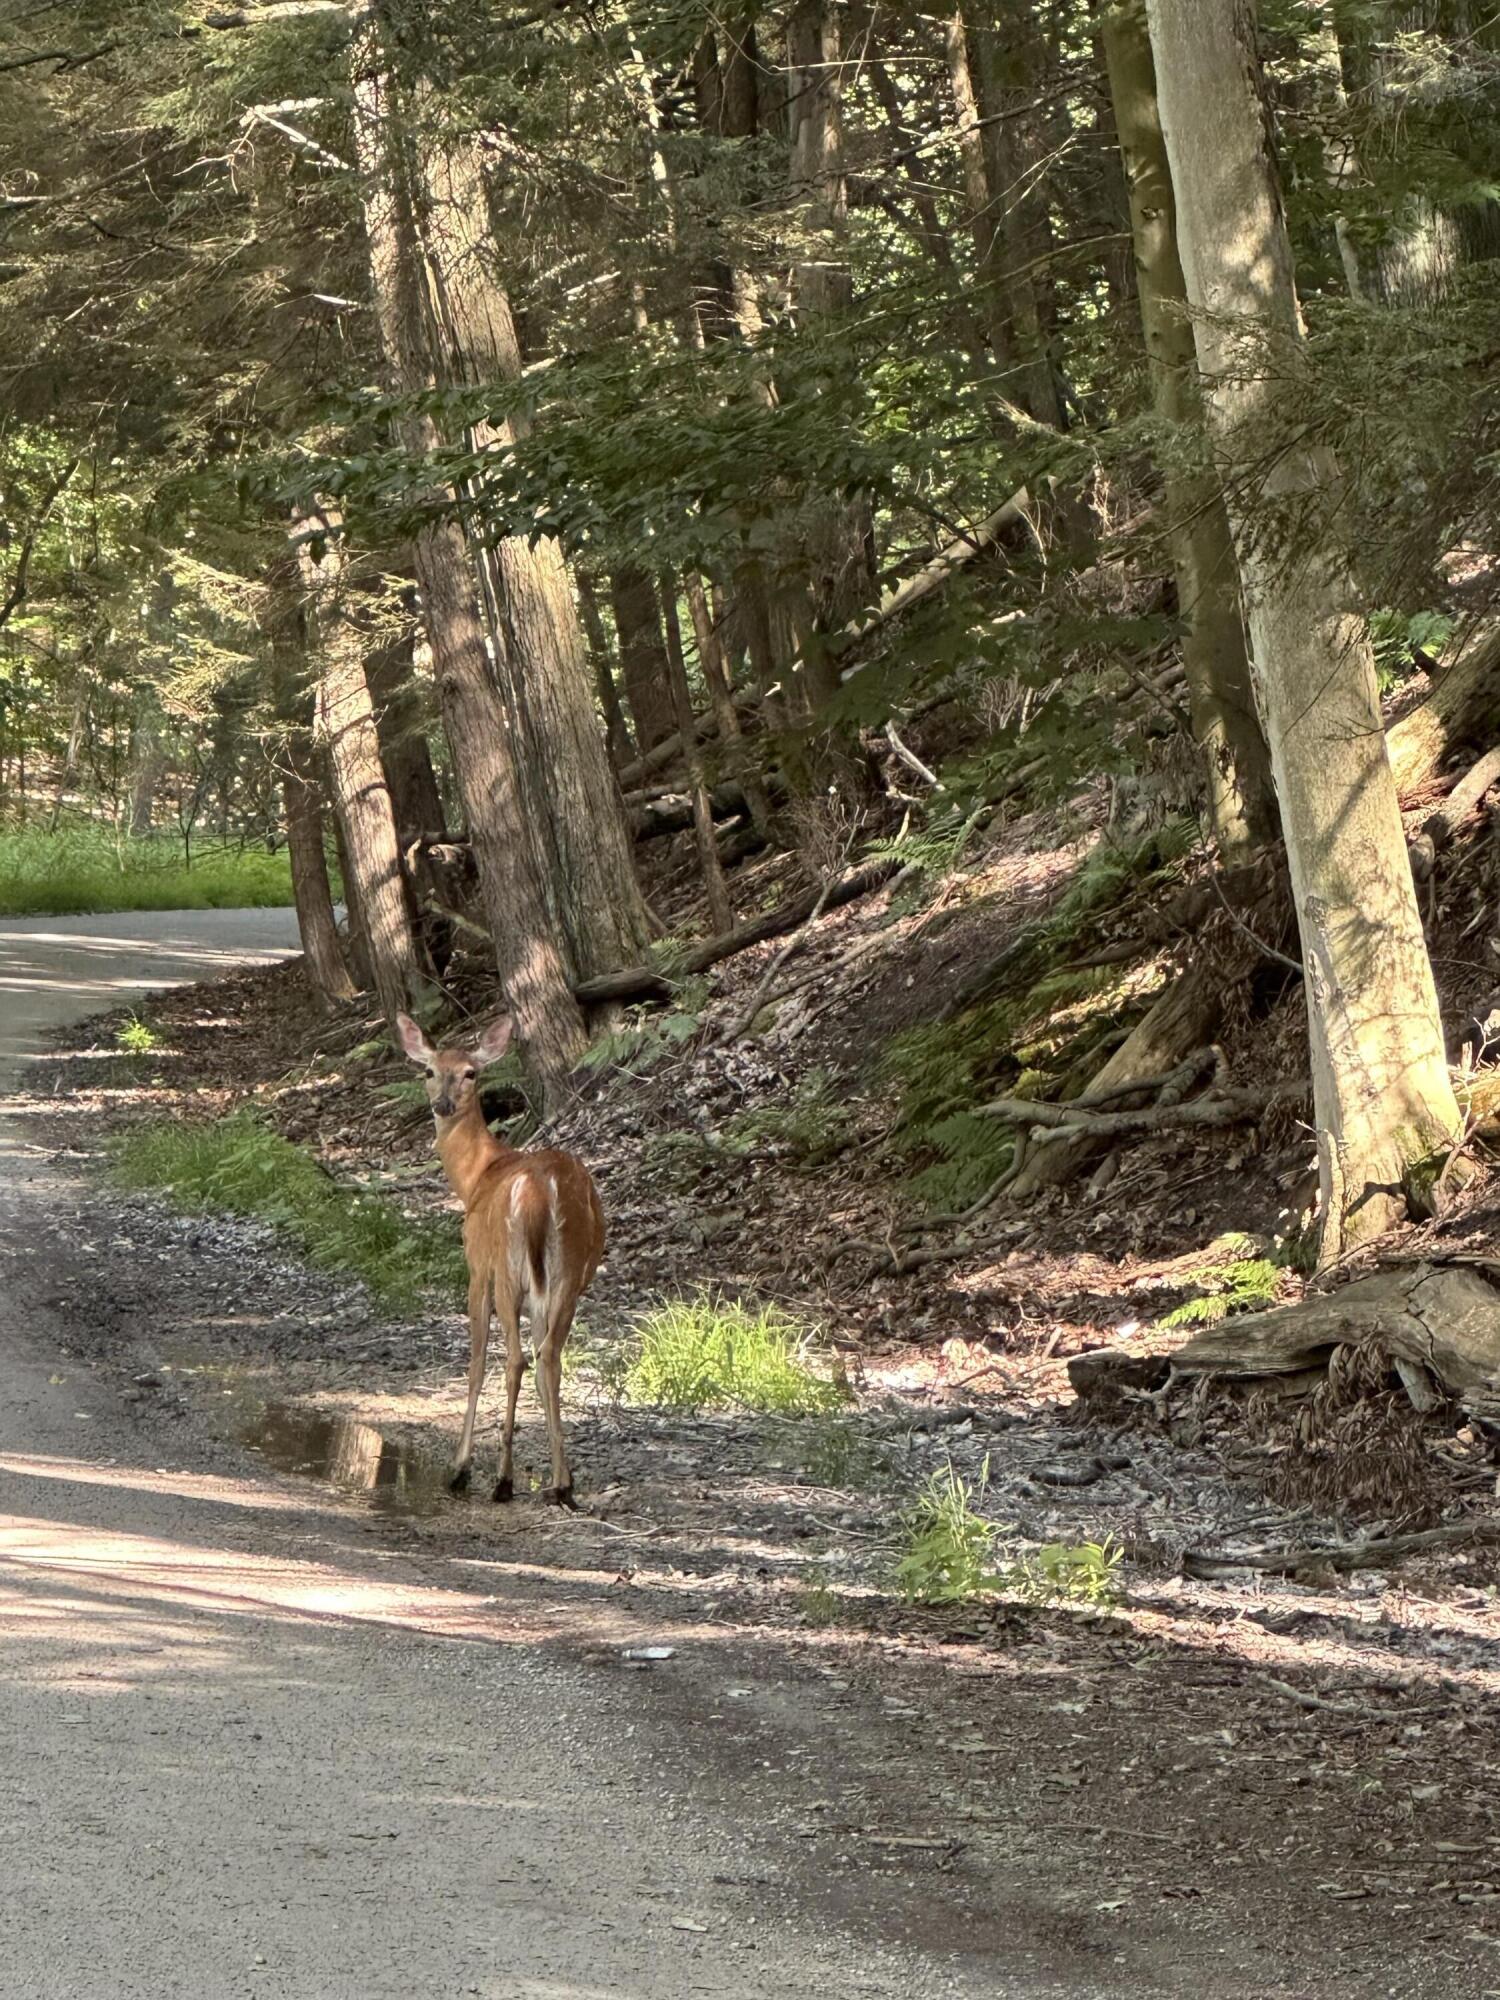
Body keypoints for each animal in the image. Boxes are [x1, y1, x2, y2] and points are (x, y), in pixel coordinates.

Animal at [396, 1012, 604, 1507]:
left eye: (470, 1072)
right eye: (429, 1070)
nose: (444, 1104)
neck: (477, 1177)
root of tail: (542, 1193)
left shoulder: (477, 1268)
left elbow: (474, 1365)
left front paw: (461, 1466)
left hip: (510, 1270)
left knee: (515, 1360)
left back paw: (502, 1479)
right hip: (569, 1276)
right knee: (550, 1359)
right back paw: (560, 1484)